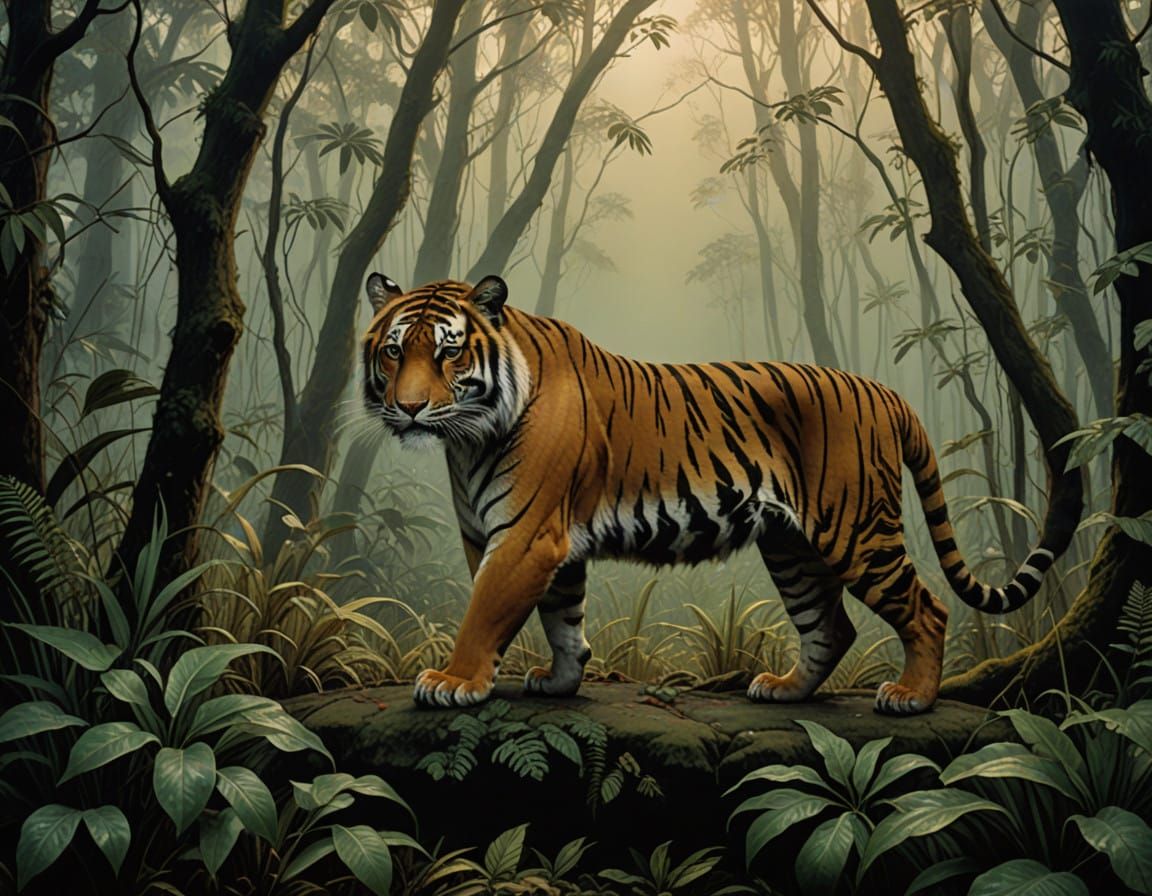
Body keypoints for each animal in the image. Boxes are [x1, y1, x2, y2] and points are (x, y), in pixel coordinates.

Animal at [360, 272, 1065, 715]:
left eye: (449, 353)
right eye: (393, 353)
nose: (410, 408)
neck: (467, 438)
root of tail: (888, 393)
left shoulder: (525, 537)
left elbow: (485, 614)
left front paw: (453, 681)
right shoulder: (521, 538)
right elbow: (562, 616)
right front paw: (560, 680)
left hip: (857, 531)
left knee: (927, 607)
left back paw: (912, 697)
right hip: (792, 547)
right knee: (831, 625)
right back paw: (785, 688)